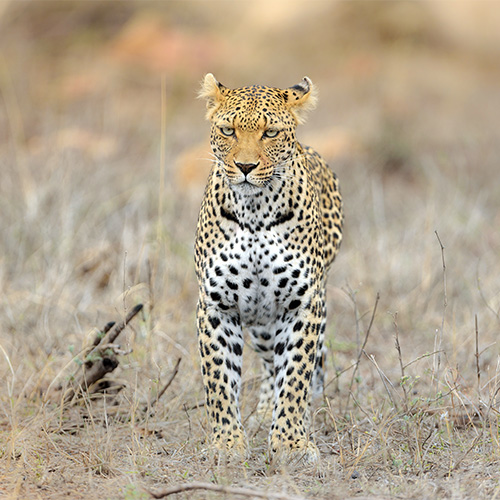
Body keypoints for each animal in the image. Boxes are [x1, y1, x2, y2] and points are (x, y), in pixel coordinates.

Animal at [193, 72, 342, 462]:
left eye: (270, 133)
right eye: (227, 130)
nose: (245, 168)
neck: (256, 212)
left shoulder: (303, 306)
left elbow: (296, 376)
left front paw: (291, 443)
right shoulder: (216, 305)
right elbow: (219, 379)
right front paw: (226, 443)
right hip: (261, 323)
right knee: (268, 364)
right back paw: (261, 415)